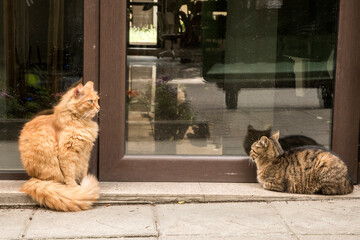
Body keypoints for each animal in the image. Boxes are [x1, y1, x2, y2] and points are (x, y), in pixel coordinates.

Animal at [18, 81, 100, 212]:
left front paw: (83, 183)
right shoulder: (67, 152)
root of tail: (33, 178)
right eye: (90, 101)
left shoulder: (85, 153)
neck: (80, 122)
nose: (98, 108)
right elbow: (70, 174)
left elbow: (83, 171)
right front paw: (76, 189)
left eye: (97, 100)